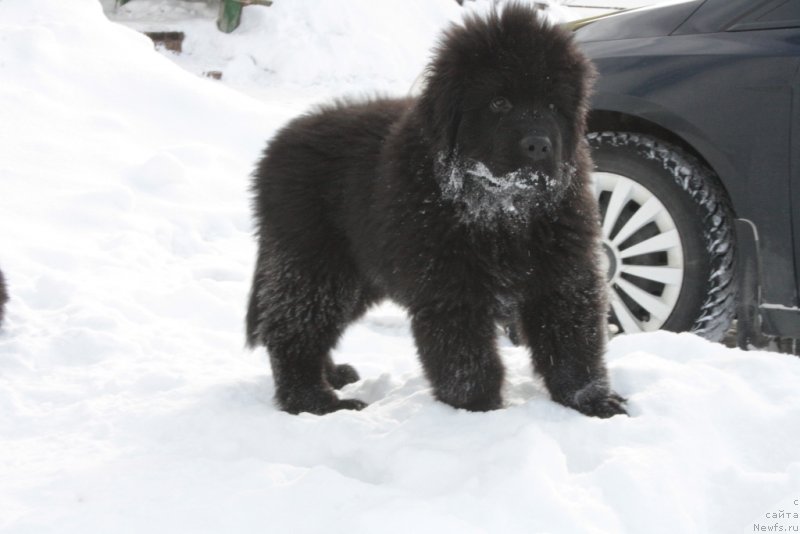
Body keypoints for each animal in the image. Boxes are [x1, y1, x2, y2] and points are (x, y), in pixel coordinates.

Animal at [244, 6, 624, 420]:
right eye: (499, 103)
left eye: (554, 106)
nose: (539, 146)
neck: (500, 210)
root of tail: (275, 146)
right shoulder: (449, 285)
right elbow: (467, 360)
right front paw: (478, 411)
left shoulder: (562, 272)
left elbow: (572, 342)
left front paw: (591, 400)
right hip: (316, 264)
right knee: (294, 328)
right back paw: (316, 401)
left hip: (360, 273)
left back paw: (333, 376)